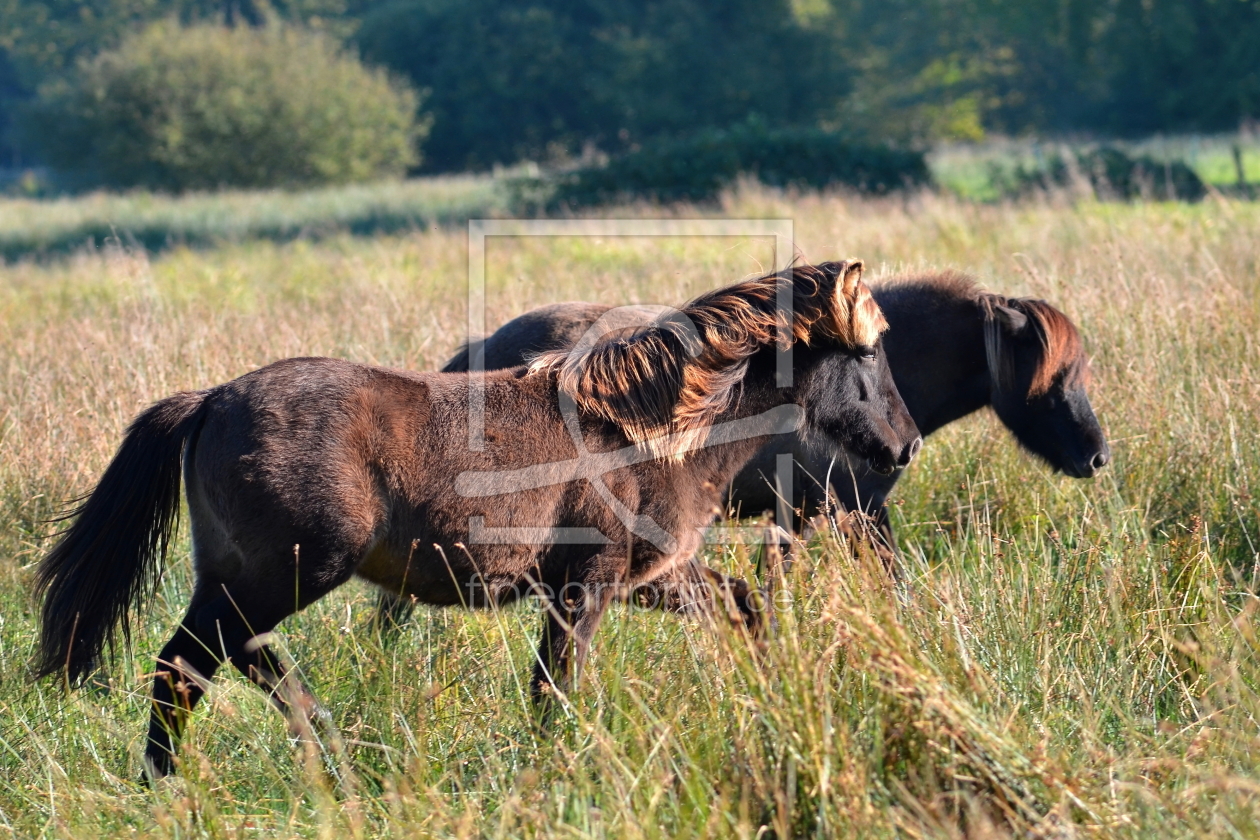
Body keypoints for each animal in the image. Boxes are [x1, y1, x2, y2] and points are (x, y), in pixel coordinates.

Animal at [31, 259, 917, 780]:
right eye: (869, 353)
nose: (904, 446)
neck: (651, 427)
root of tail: (211, 398)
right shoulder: (586, 586)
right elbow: (554, 687)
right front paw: (555, 770)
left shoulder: (650, 578)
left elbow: (744, 603)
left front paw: (770, 693)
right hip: (283, 573)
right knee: (189, 665)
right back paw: (188, 781)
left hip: (242, 580)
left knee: (229, 663)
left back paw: (321, 758)